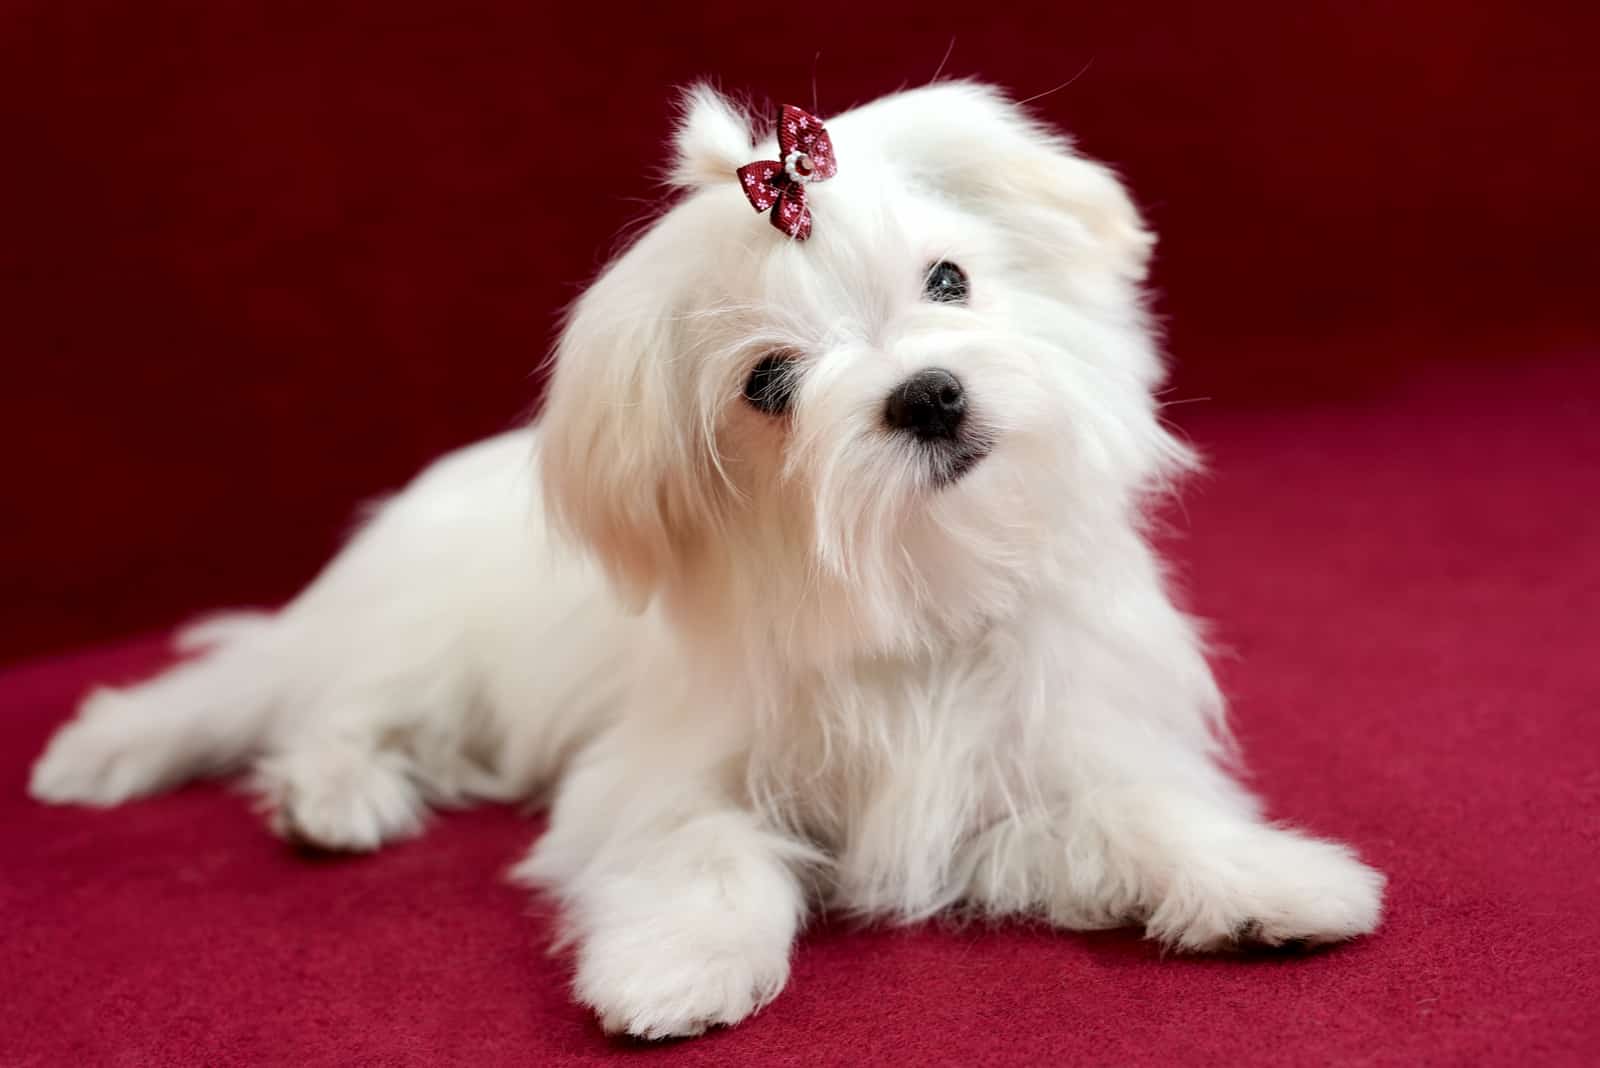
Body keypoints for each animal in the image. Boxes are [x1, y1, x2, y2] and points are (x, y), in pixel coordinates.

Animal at [28, 81, 1388, 1036]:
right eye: (770, 383)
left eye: (949, 279)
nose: (929, 395)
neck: (919, 584)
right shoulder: (659, 777)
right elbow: (704, 850)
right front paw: (674, 968)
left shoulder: (1047, 744)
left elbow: (1138, 810)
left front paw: (1268, 882)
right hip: (418, 648)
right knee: (328, 709)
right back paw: (337, 796)